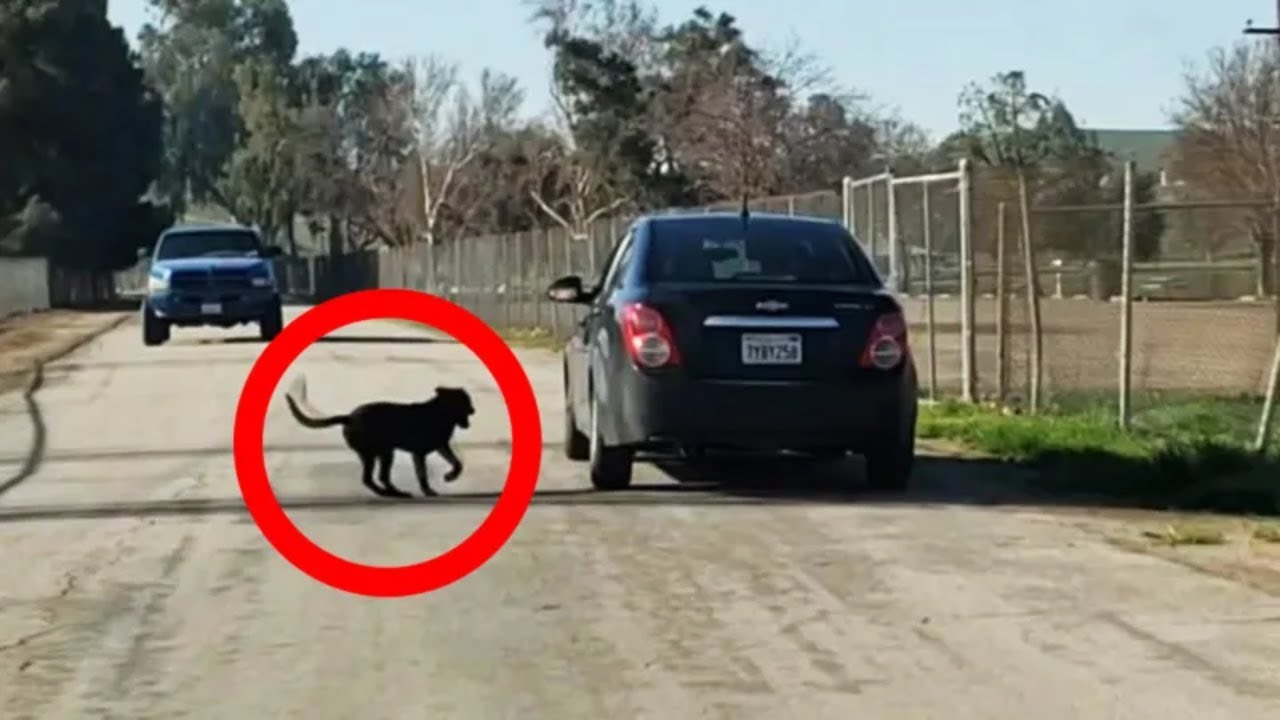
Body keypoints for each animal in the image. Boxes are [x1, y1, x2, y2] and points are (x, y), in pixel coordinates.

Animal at [284, 371, 476, 497]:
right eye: (465, 402)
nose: (474, 410)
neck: (441, 412)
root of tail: (349, 417)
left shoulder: (441, 446)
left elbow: (457, 463)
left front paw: (450, 476)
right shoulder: (419, 453)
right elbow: (423, 474)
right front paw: (428, 490)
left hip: (380, 453)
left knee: (378, 477)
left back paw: (394, 492)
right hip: (380, 453)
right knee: (370, 479)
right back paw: (390, 493)